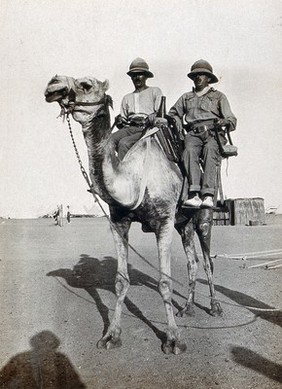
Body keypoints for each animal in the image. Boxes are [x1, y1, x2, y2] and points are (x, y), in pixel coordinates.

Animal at [44, 74, 221, 354]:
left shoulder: (163, 220)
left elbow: (165, 282)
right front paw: (111, 335)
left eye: (86, 85)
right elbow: (120, 281)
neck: (134, 178)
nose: (53, 83)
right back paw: (187, 308)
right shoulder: (119, 222)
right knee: (192, 262)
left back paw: (214, 307)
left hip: (203, 216)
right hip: (183, 224)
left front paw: (173, 340)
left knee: (207, 260)